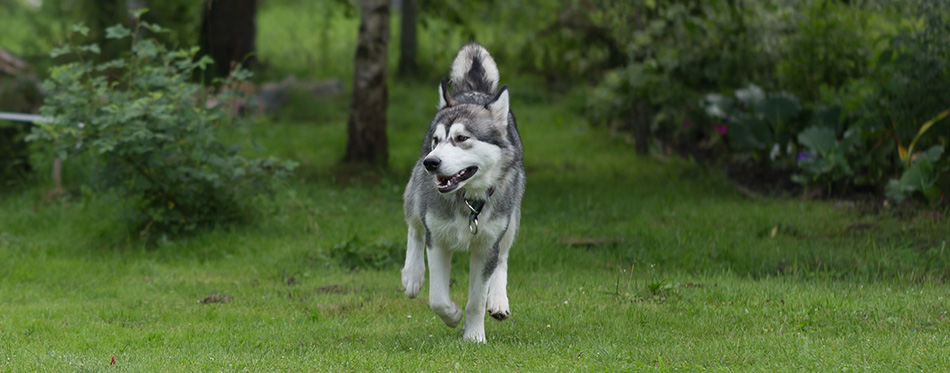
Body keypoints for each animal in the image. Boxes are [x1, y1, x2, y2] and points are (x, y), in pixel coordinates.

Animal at [398, 42, 524, 342]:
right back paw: (412, 275)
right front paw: (454, 316)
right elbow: (437, 299)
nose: (431, 162)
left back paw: (498, 300)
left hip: (513, 216)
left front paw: (474, 335)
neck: (468, 202)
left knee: (503, 257)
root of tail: (475, 92)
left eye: (462, 138)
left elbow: (477, 299)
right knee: (414, 227)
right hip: (416, 194)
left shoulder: (487, 246)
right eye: (437, 140)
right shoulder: (437, 239)